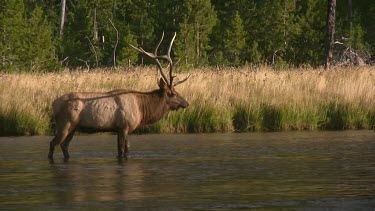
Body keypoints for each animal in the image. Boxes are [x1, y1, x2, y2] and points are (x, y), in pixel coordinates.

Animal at [49, 33, 191, 161]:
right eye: (172, 93)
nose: (186, 103)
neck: (142, 109)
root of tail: (53, 104)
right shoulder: (124, 126)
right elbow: (122, 150)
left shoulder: (120, 129)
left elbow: (125, 150)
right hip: (65, 124)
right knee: (53, 144)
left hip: (73, 128)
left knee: (64, 146)